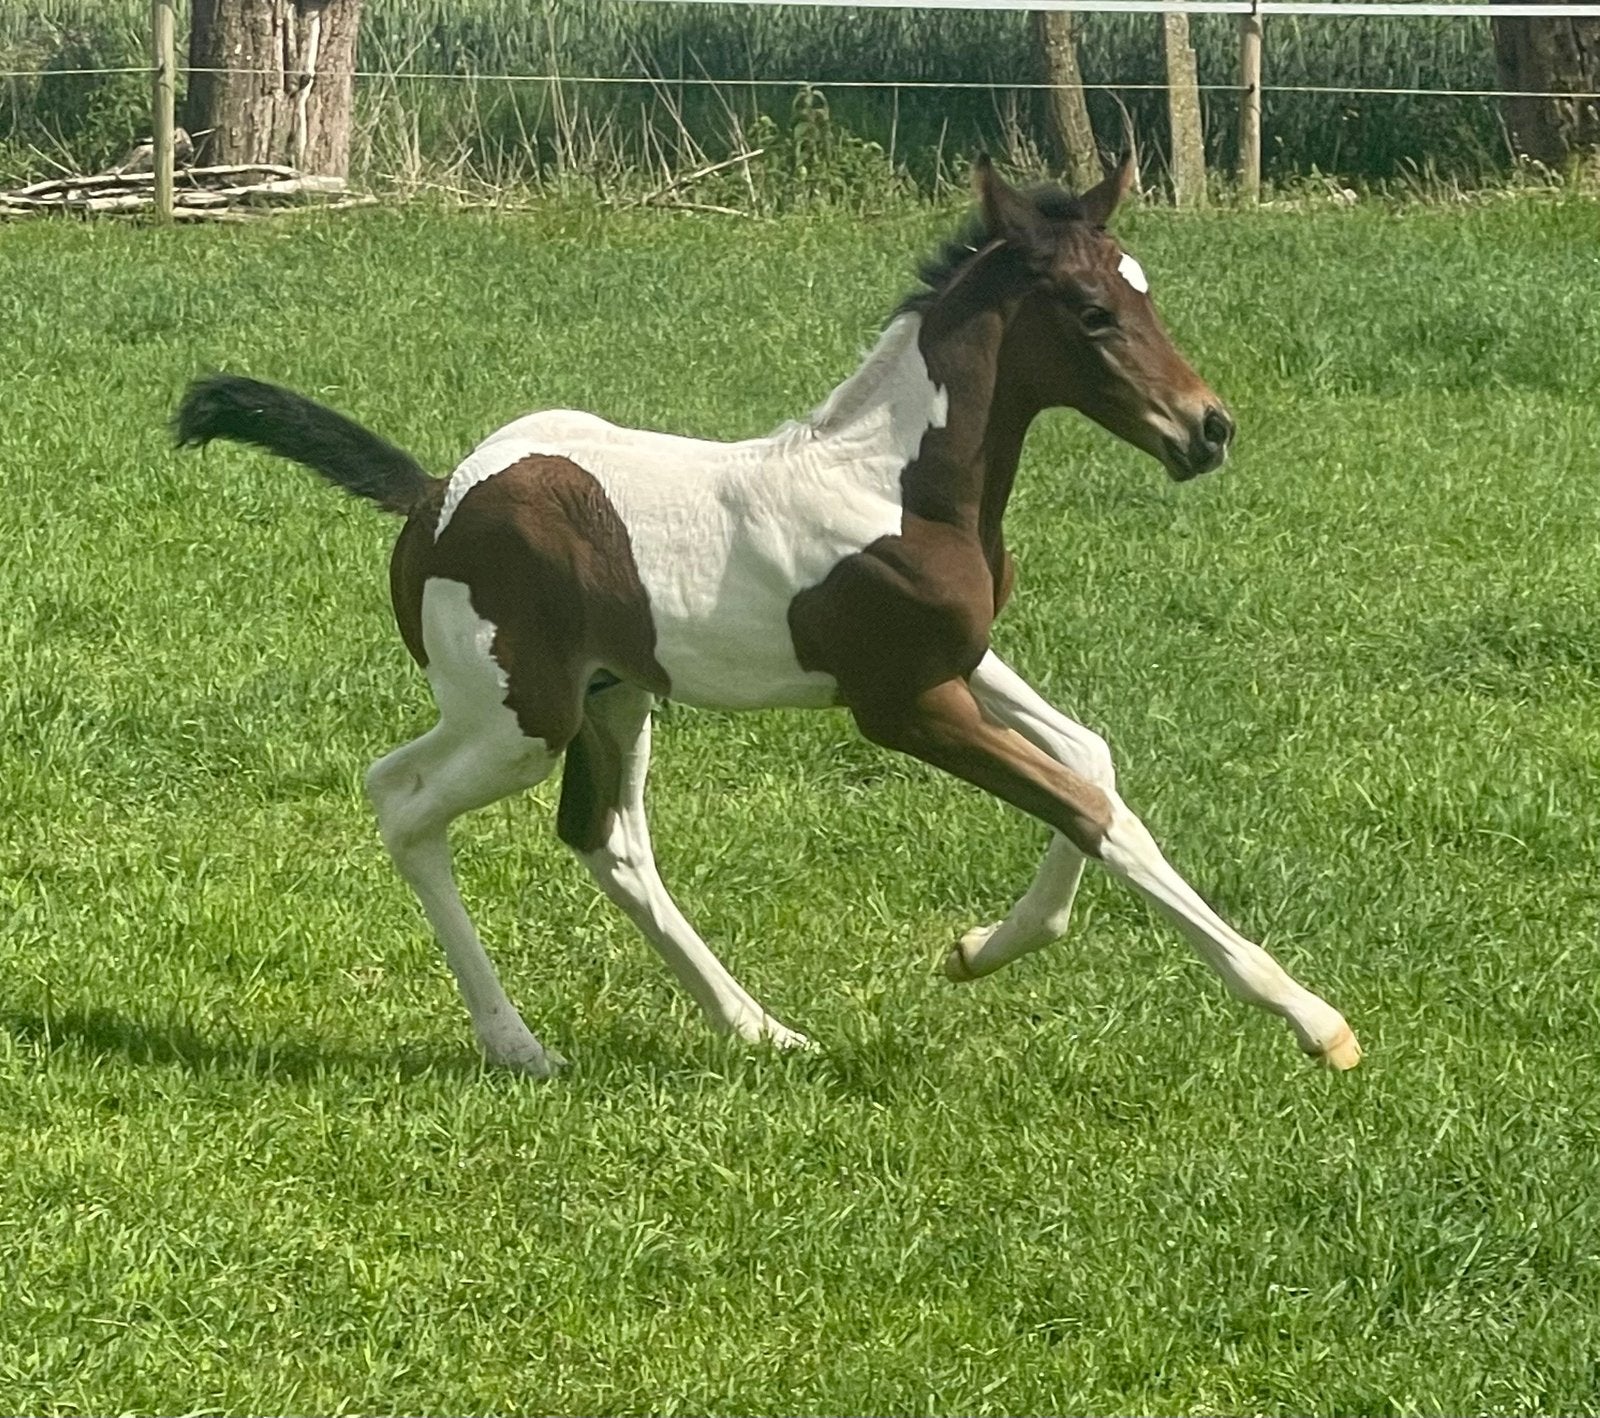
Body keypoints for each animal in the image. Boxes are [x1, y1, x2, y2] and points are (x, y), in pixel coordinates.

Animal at [174, 156, 1360, 1078]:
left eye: (1146, 293)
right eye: (1094, 313)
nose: (1207, 430)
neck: (896, 485)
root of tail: (432, 498)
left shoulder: (961, 659)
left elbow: (1091, 766)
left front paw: (980, 947)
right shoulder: (902, 704)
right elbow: (1087, 808)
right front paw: (1312, 1016)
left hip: (610, 699)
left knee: (603, 841)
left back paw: (759, 1028)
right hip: (519, 716)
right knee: (406, 804)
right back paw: (519, 1044)